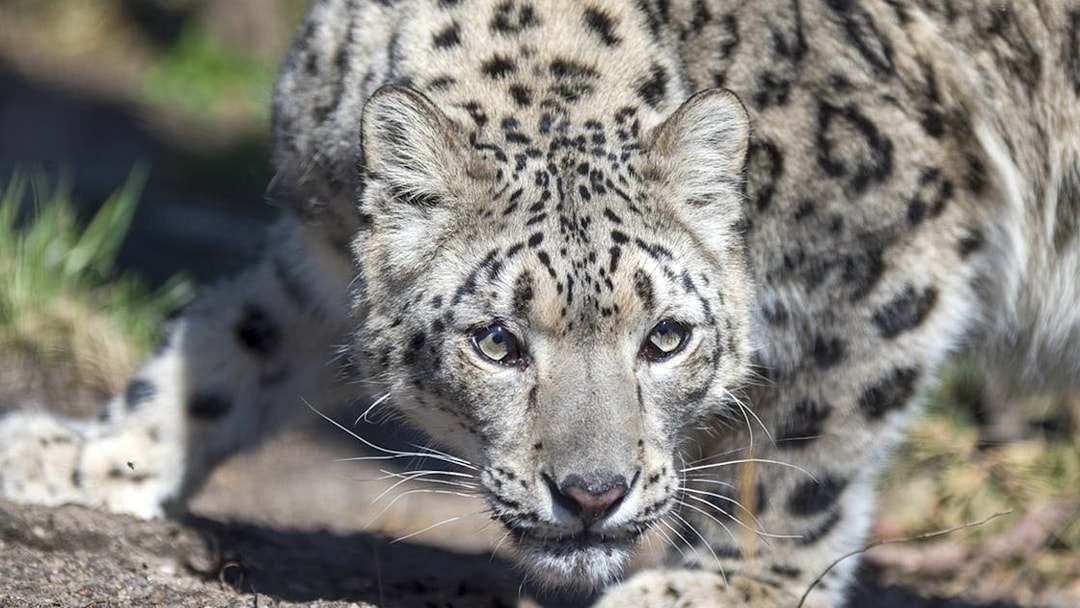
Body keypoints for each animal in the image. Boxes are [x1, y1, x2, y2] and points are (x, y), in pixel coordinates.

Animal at [2, 0, 1079, 606]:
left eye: (667, 336)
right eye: (496, 340)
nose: (593, 494)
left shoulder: (882, 246)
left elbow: (802, 450)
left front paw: (717, 585)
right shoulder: (316, 244)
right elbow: (235, 332)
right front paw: (91, 453)